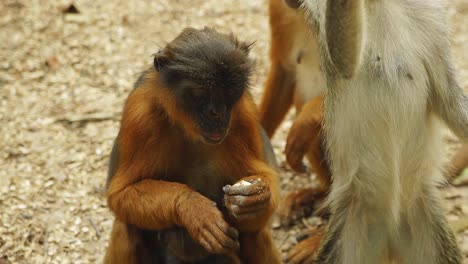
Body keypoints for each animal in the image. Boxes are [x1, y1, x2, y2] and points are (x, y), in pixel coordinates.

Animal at [105, 27, 282, 264]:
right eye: (200, 94)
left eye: (230, 92)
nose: (218, 113)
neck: (190, 132)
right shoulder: (140, 115)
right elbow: (120, 196)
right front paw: (193, 209)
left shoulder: (243, 114)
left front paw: (257, 197)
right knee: (127, 227)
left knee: (255, 233)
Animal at [294, 0, 466, 262]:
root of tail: (389, 235)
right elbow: (345, 62)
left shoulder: (431, 19)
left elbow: (448, 99)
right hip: (352, 221)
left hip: (422, 213)